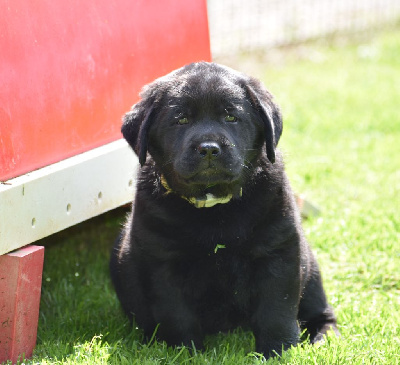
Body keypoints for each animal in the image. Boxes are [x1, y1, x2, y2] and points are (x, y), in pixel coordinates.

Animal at [109, 61, 338, 356]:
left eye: (231, 117)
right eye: (181, 119)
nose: (208, 148)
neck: (214, 210)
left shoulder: (278, 252)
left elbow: (277, 309)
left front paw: (277, 350)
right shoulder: (163, 263)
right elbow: (176, 313)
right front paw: (186, 352)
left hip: (311, 270)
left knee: (319, 308)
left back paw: (324, 336)